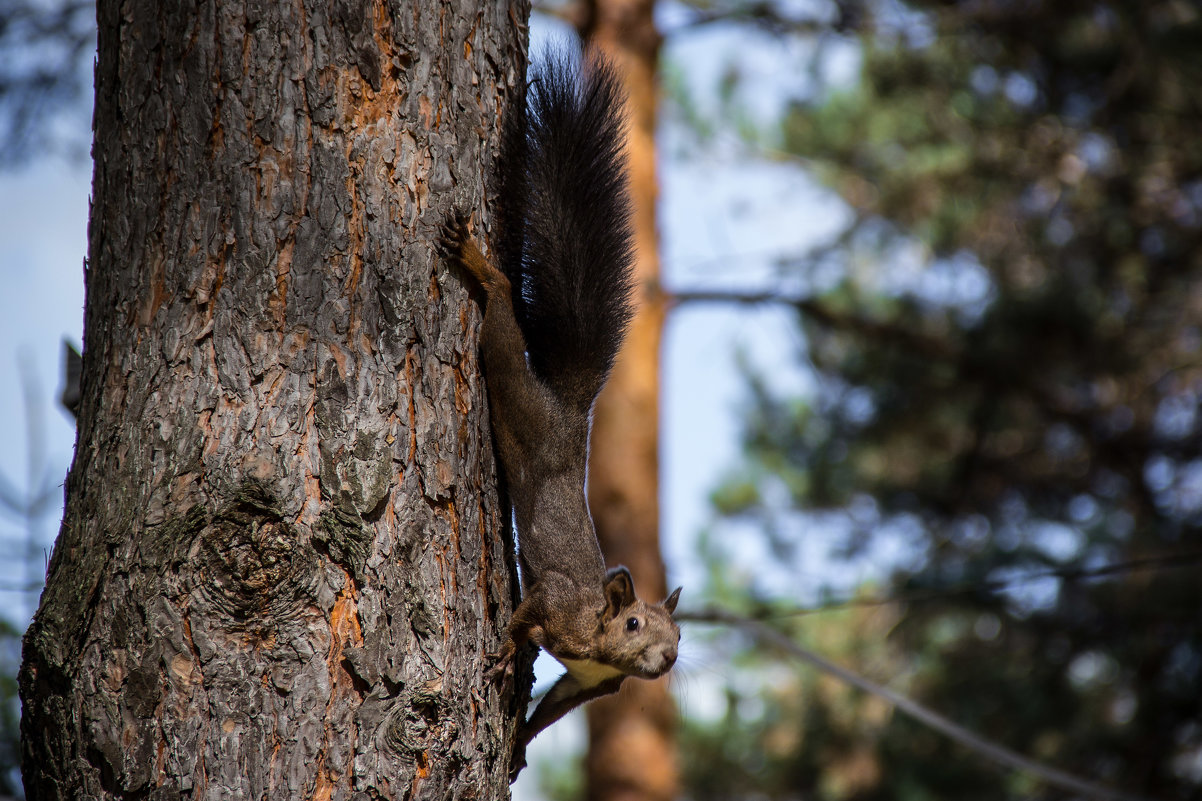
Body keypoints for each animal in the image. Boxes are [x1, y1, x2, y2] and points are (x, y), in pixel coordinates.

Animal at [439, 46, 682, 774]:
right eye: (633, 623)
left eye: (680, 634)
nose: (665, 660)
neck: (600, 645)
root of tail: (571, 411)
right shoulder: (558, 604)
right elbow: (526, 617)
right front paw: (500, 655)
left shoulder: (590, 683)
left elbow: (552, 712)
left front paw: (519, 742)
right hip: (515, 397)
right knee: (500, 329)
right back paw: (480, 266)